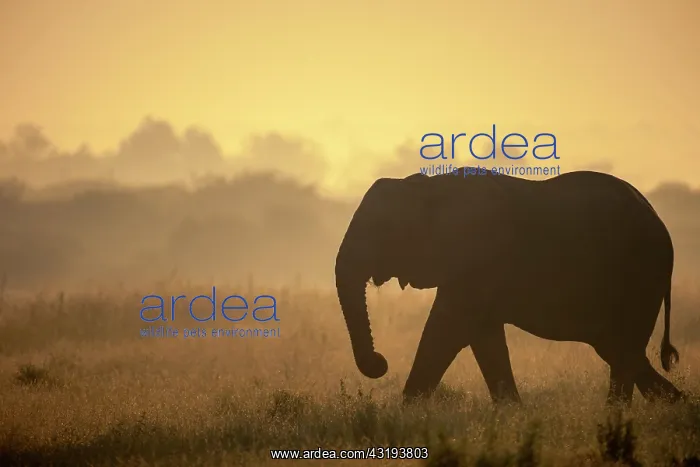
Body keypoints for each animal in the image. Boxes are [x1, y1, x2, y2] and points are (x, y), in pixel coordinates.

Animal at [334, 166, 686, 406]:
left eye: (382, 228)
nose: (380, 362)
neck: (427, 188)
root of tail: (661, 224)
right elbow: (483, 338)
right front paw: (513, 415)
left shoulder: (477, 257)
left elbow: (446, 329)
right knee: (618, 348)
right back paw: (669, 407)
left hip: (641, 272)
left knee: (623, 349)